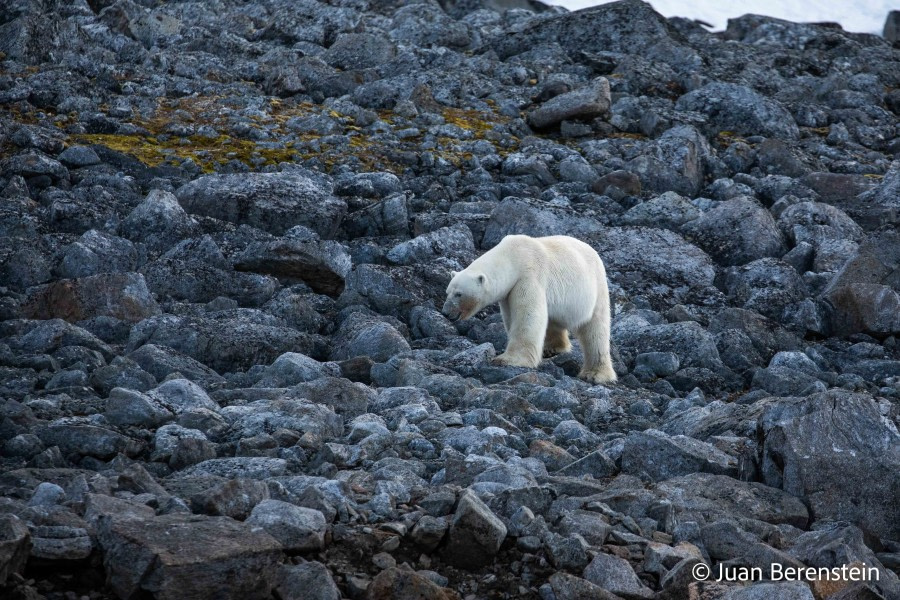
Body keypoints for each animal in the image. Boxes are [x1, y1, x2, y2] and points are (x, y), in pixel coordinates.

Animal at [442, 232, 616, 382]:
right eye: (447, 292)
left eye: (458, 294)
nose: (445, 312)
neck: (512, 256)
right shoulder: (508, 293)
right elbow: (511, 317)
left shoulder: (528, 276)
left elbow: (527, 316)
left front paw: (507, 360)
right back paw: (552, 348)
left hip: (595, 288)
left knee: (596, 330)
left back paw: (595, 373)